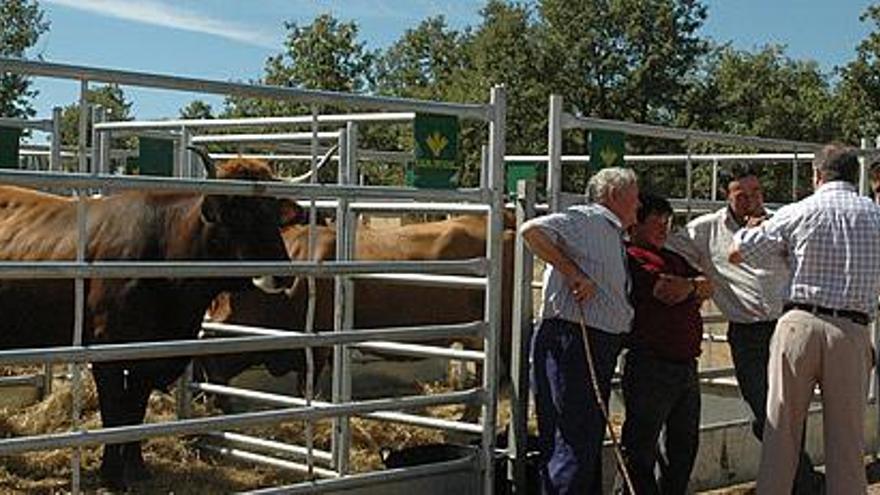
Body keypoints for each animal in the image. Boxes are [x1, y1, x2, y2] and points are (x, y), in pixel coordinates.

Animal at [0, 156, 300, 492]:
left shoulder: (151, 355)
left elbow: (135, 412)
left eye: (274, 215)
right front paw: (112, 475)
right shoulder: (108, 352)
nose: (283, 274)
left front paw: (137, 468)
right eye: (237, 214)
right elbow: (114, 414)